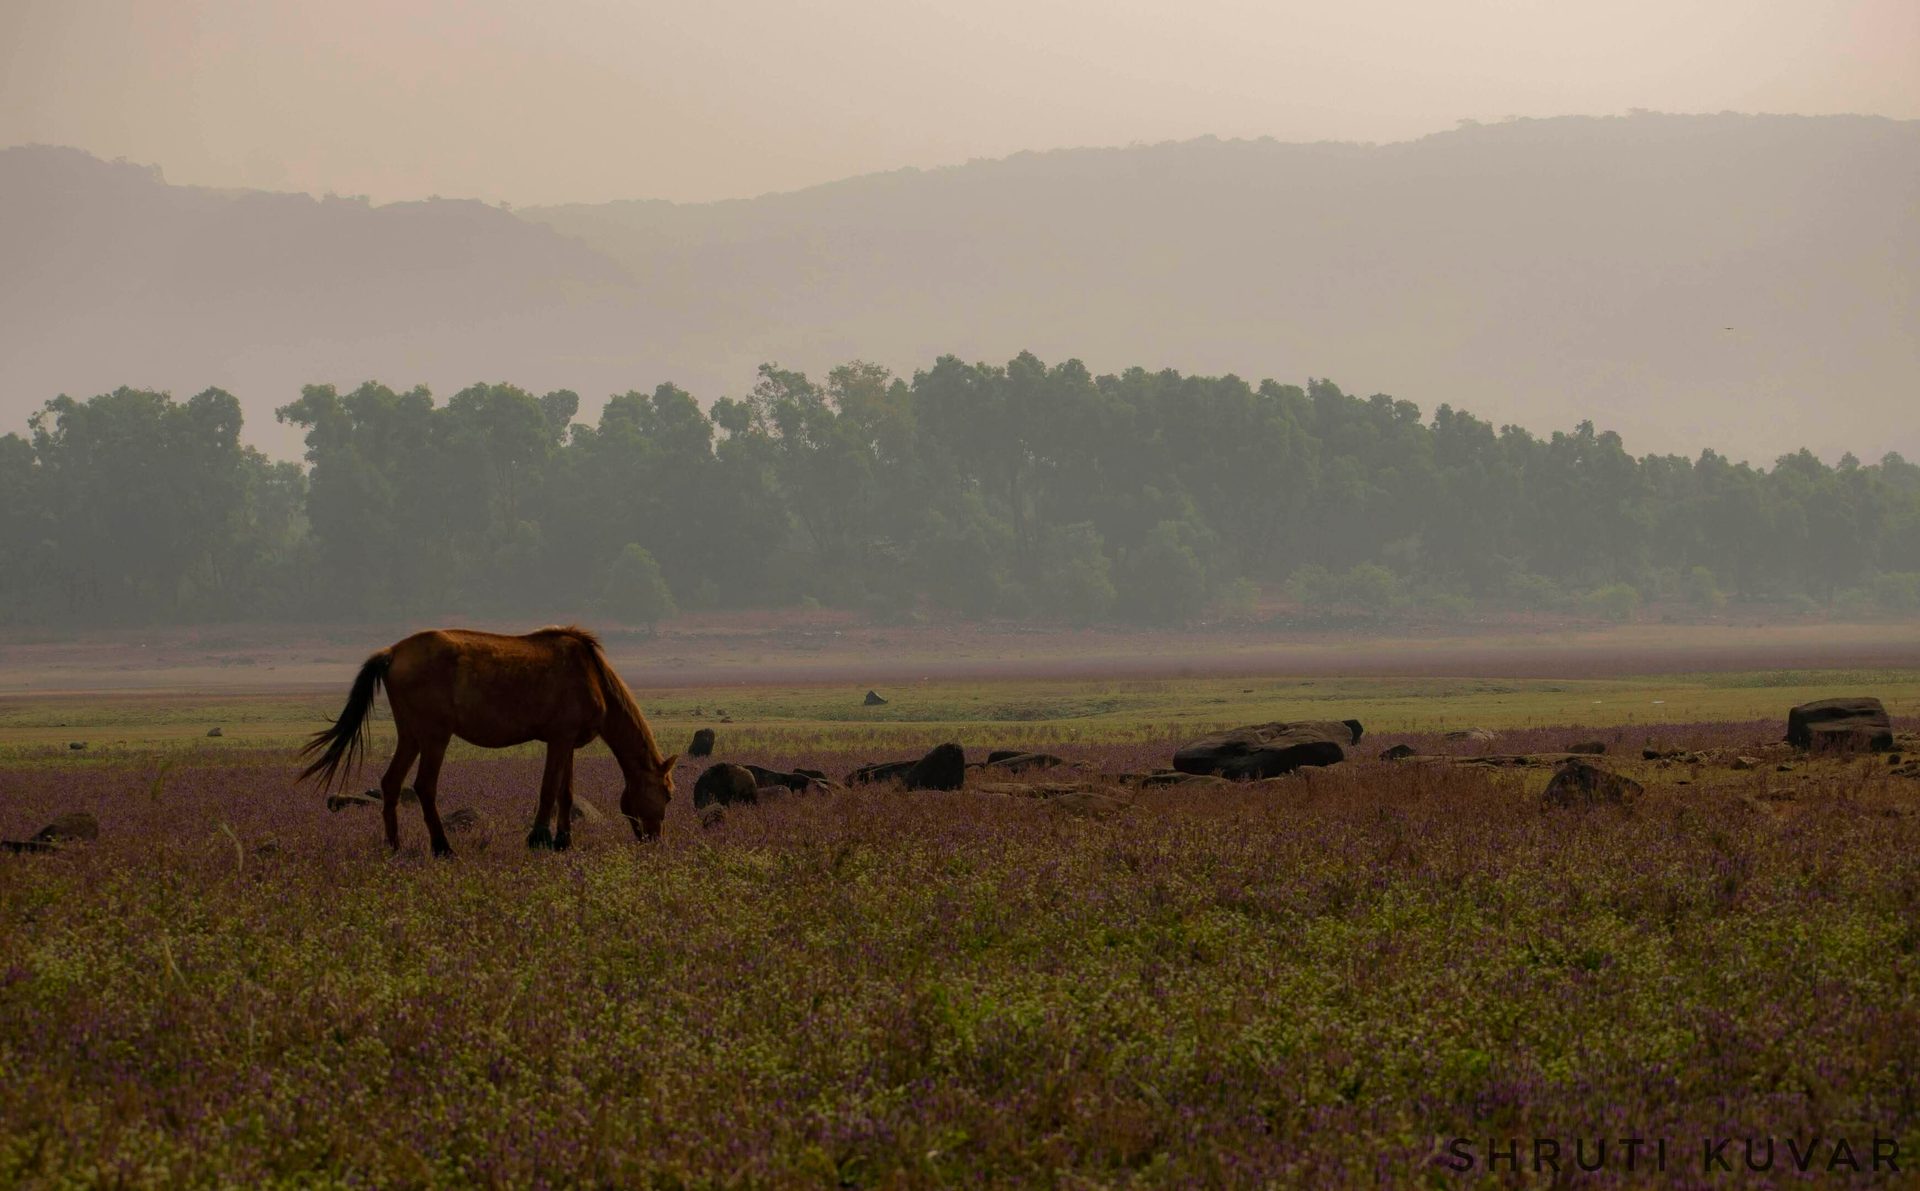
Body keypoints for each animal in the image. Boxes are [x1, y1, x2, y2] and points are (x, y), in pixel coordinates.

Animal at [297, 626, 677, 856]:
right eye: (669, 794)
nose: (656, 840)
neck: (592, 675)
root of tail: (393, 652)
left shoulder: (567, 743)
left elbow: (565, 793)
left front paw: (563, 841)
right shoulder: (559, 739)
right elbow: (548, 790)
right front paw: (538, 838)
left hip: (411, 735)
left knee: (391, 783)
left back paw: (395, 846)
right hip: (435, 736)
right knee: (424, 786)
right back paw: (442, 847)